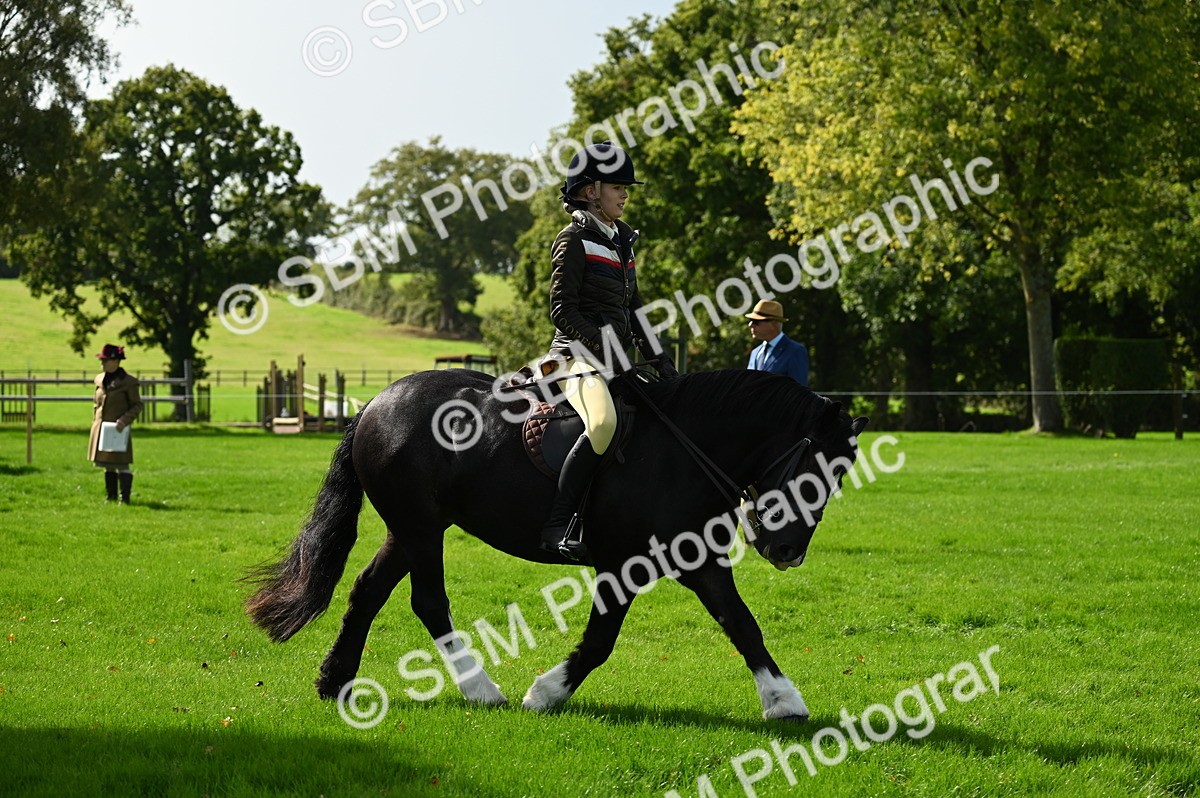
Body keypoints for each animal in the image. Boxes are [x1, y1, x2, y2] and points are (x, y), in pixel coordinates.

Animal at [245, 367, 868, 720]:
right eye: (817, 470)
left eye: (839, 477)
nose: (787, 552)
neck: (682, 450)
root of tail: (376, 402)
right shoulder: (624, 564)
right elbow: (599, 643)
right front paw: (545, 693)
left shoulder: (700, 562)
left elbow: (742, 624)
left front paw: (784, 701)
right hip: (420, 528)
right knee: (428, 602)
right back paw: (482, 691)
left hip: (413, 527)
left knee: (367, 591)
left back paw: (335, 681)